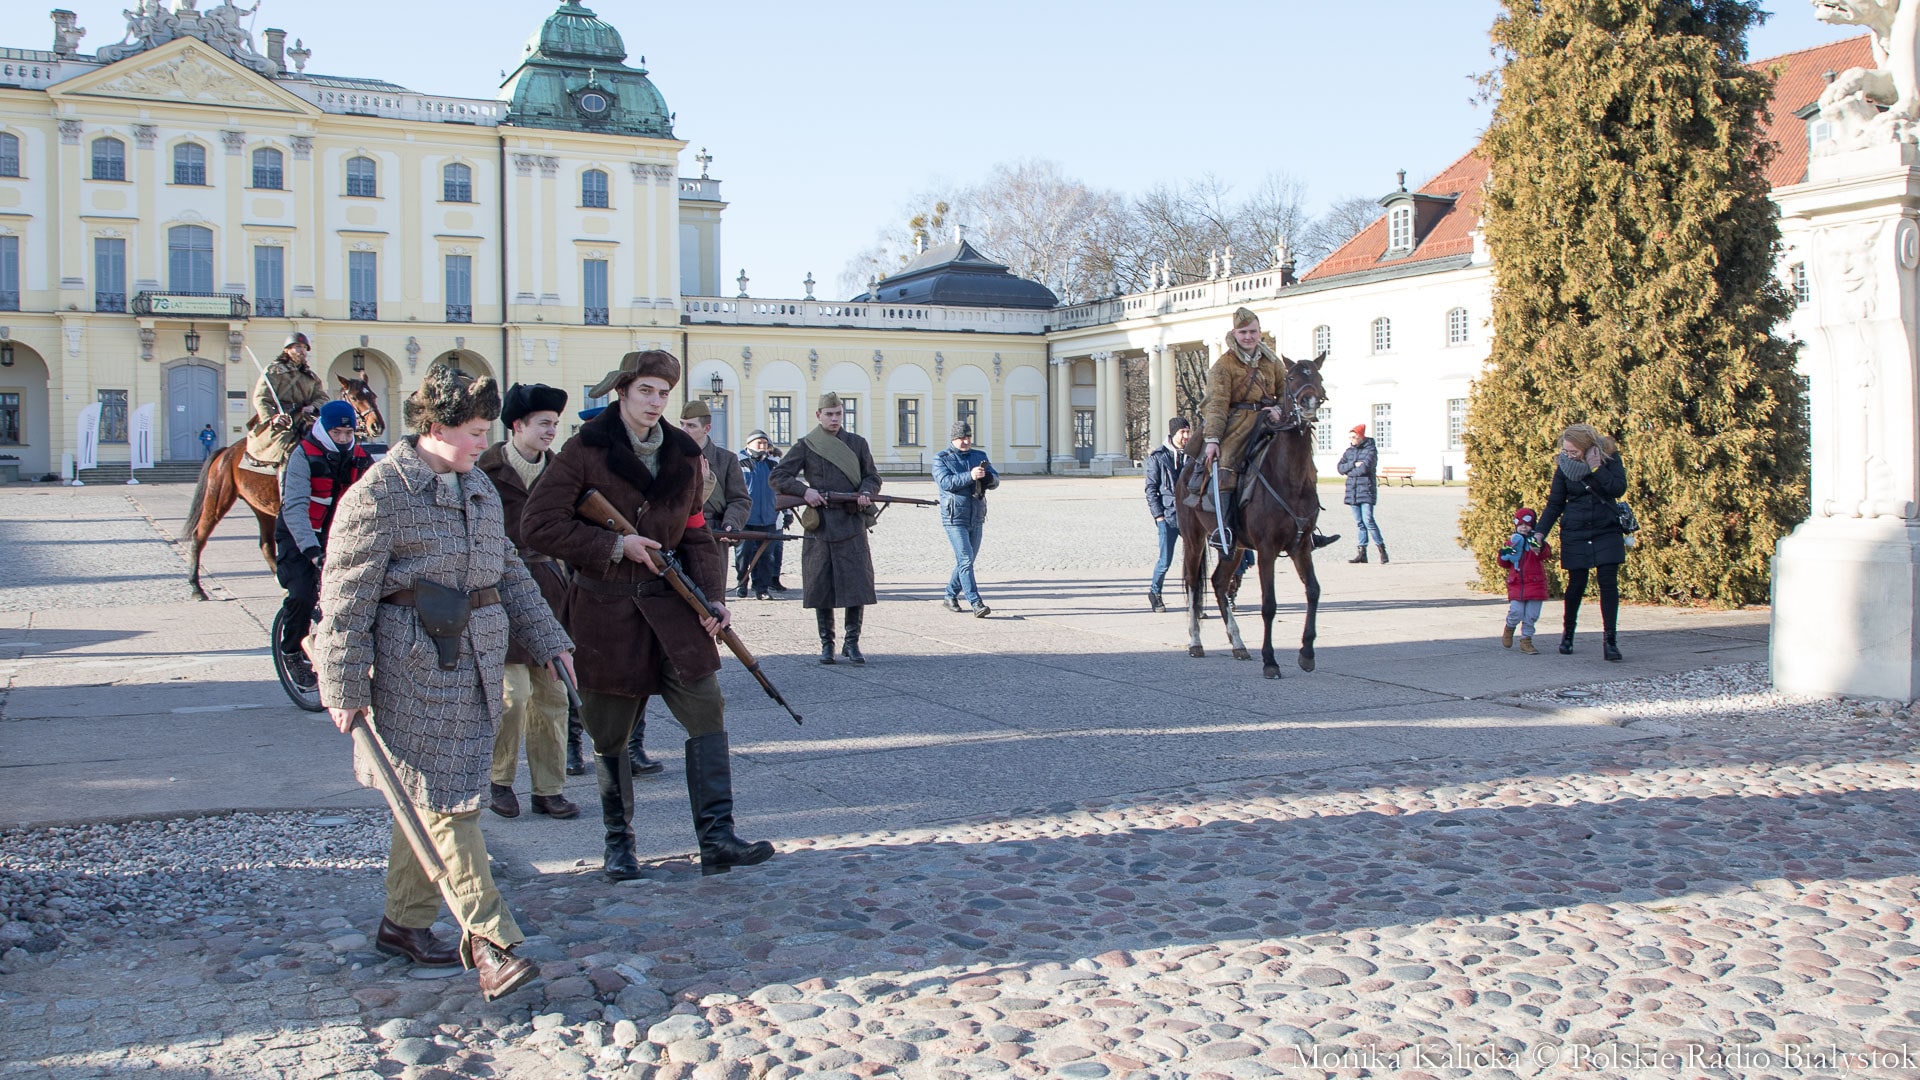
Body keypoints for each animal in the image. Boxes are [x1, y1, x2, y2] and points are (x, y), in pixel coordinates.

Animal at [182, 375, 385, 601]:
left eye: (373, 395)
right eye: (354, 397)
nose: (376, 426)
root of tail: (226, 452)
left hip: (261, 508)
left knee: (266, 545)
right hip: (217, 499)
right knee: (199, 535)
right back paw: (196, 586)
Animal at [1173, 353, 1328, 679]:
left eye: (1318, 376)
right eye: (1292, 378)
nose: (1309, 402)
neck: (1290, 479)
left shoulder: (1302, 547)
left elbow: (1313, 591)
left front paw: (1307, 653)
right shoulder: (1268, 550)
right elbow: (1268, 604)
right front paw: (1270, 660)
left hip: (1233, 548)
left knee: (1219, 583)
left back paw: (1238, 643)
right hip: (1194, 539)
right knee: (1193, 584)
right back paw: (1196, 641)